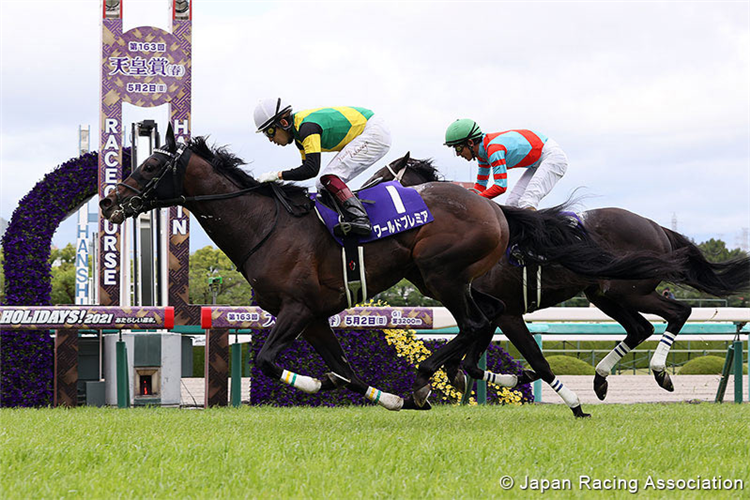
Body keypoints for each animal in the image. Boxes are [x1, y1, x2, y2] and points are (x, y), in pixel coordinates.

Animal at [374, 154, 750, 412]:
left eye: (381, 177)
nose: (364, 192)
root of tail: (656, 227)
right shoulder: (491, 309)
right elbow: (471, 360)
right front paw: (505, 377)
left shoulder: (506, 312)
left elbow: (528, 357)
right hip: (604, 294)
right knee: (640, 327)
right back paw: (600, 379)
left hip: (632, 290)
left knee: (678, 311)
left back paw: (660, 372)